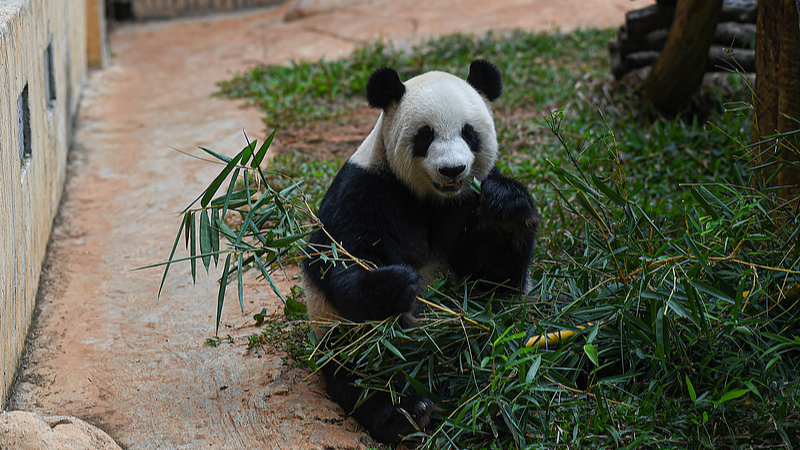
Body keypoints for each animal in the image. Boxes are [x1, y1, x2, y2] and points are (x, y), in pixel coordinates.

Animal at [301, 59, 540, 444]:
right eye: (425, 136)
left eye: (469, 133)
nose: (452, 169)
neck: (432, 198)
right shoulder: (367, 189)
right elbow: (337, 260)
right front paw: (397, 285)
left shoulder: (467, 199)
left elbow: (492, 277)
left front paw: (507, 208)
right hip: (341, 336)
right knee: (366, 365)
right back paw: (406, 411)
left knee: (503, 348)